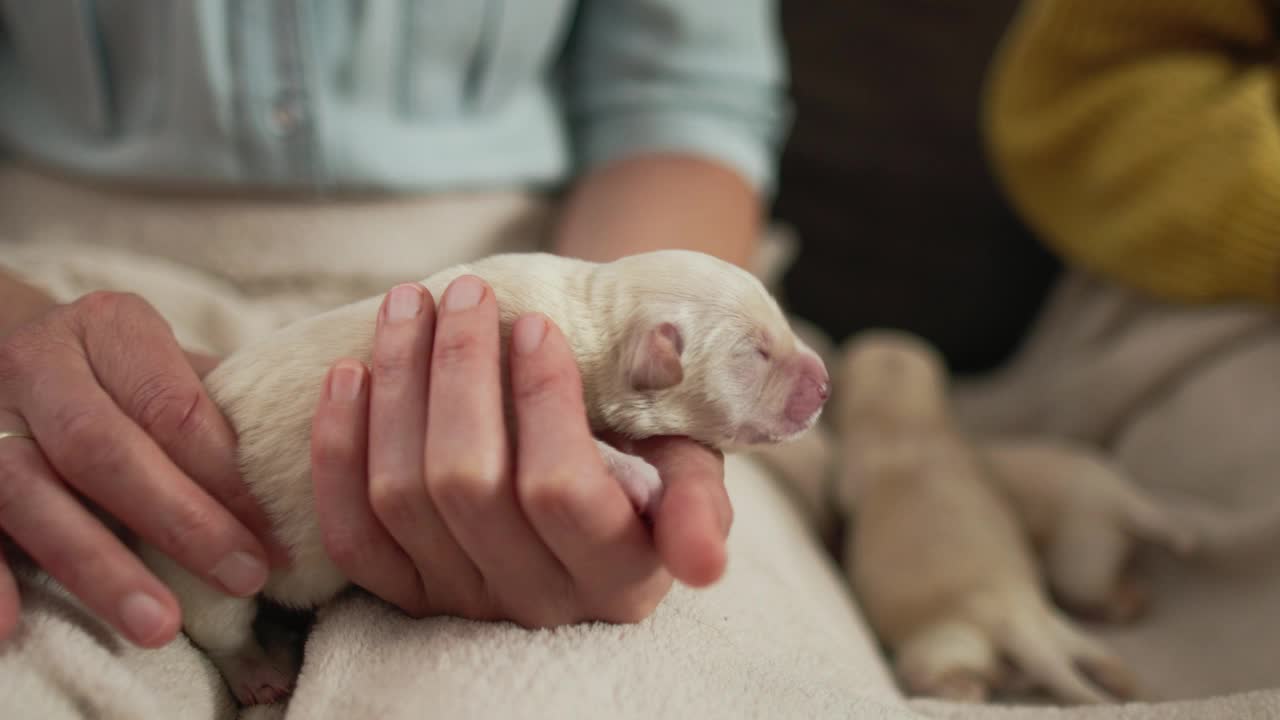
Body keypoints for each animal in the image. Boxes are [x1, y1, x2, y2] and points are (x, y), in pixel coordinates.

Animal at [140, 245, 829, 702]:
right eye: (756, 351)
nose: (825, 383)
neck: (591, 315)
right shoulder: (503, 376)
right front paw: (638, 475)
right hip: (209, 563)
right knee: (218, 628)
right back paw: (260, 671)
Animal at [834, 330, 1136, 702]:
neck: (908, 420)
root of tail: (1016, 624)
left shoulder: (848, 474)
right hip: (1064, 630)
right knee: (1098, 654)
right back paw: (1117, 675)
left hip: (944, 643)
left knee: (949, 676)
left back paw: (959, 686)